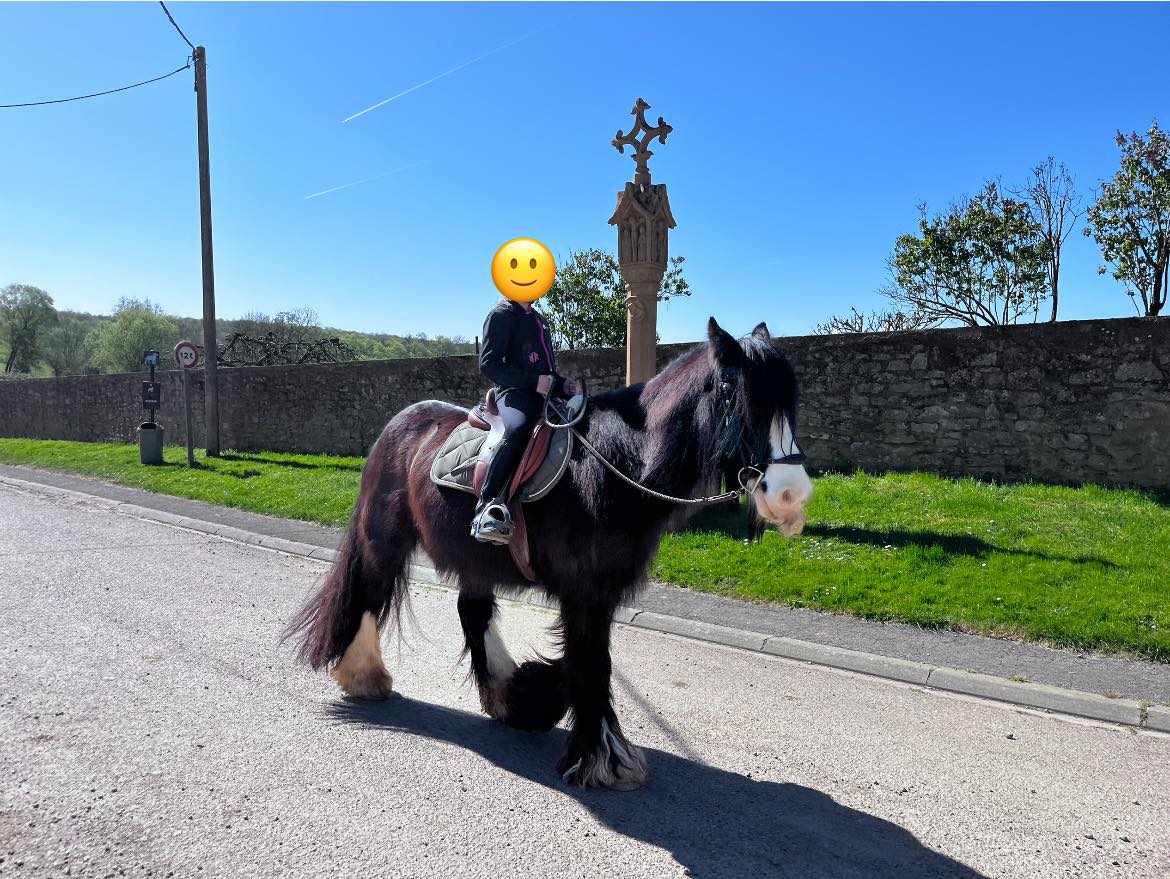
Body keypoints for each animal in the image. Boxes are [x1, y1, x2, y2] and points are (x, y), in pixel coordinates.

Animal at [285, 317, 814, 790]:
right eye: (732, 389)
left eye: (789, 400)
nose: (792, 495)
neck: (618, 464)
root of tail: (399, 425)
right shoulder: (583, 590)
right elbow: (590, 662)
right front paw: (602, 760)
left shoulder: (601, 592)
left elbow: (587, 660)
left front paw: (534, 698)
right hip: (385, 539)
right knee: (369, 594)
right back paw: (364, 675)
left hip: (474, 558)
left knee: (472, 611)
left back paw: (501, 694)